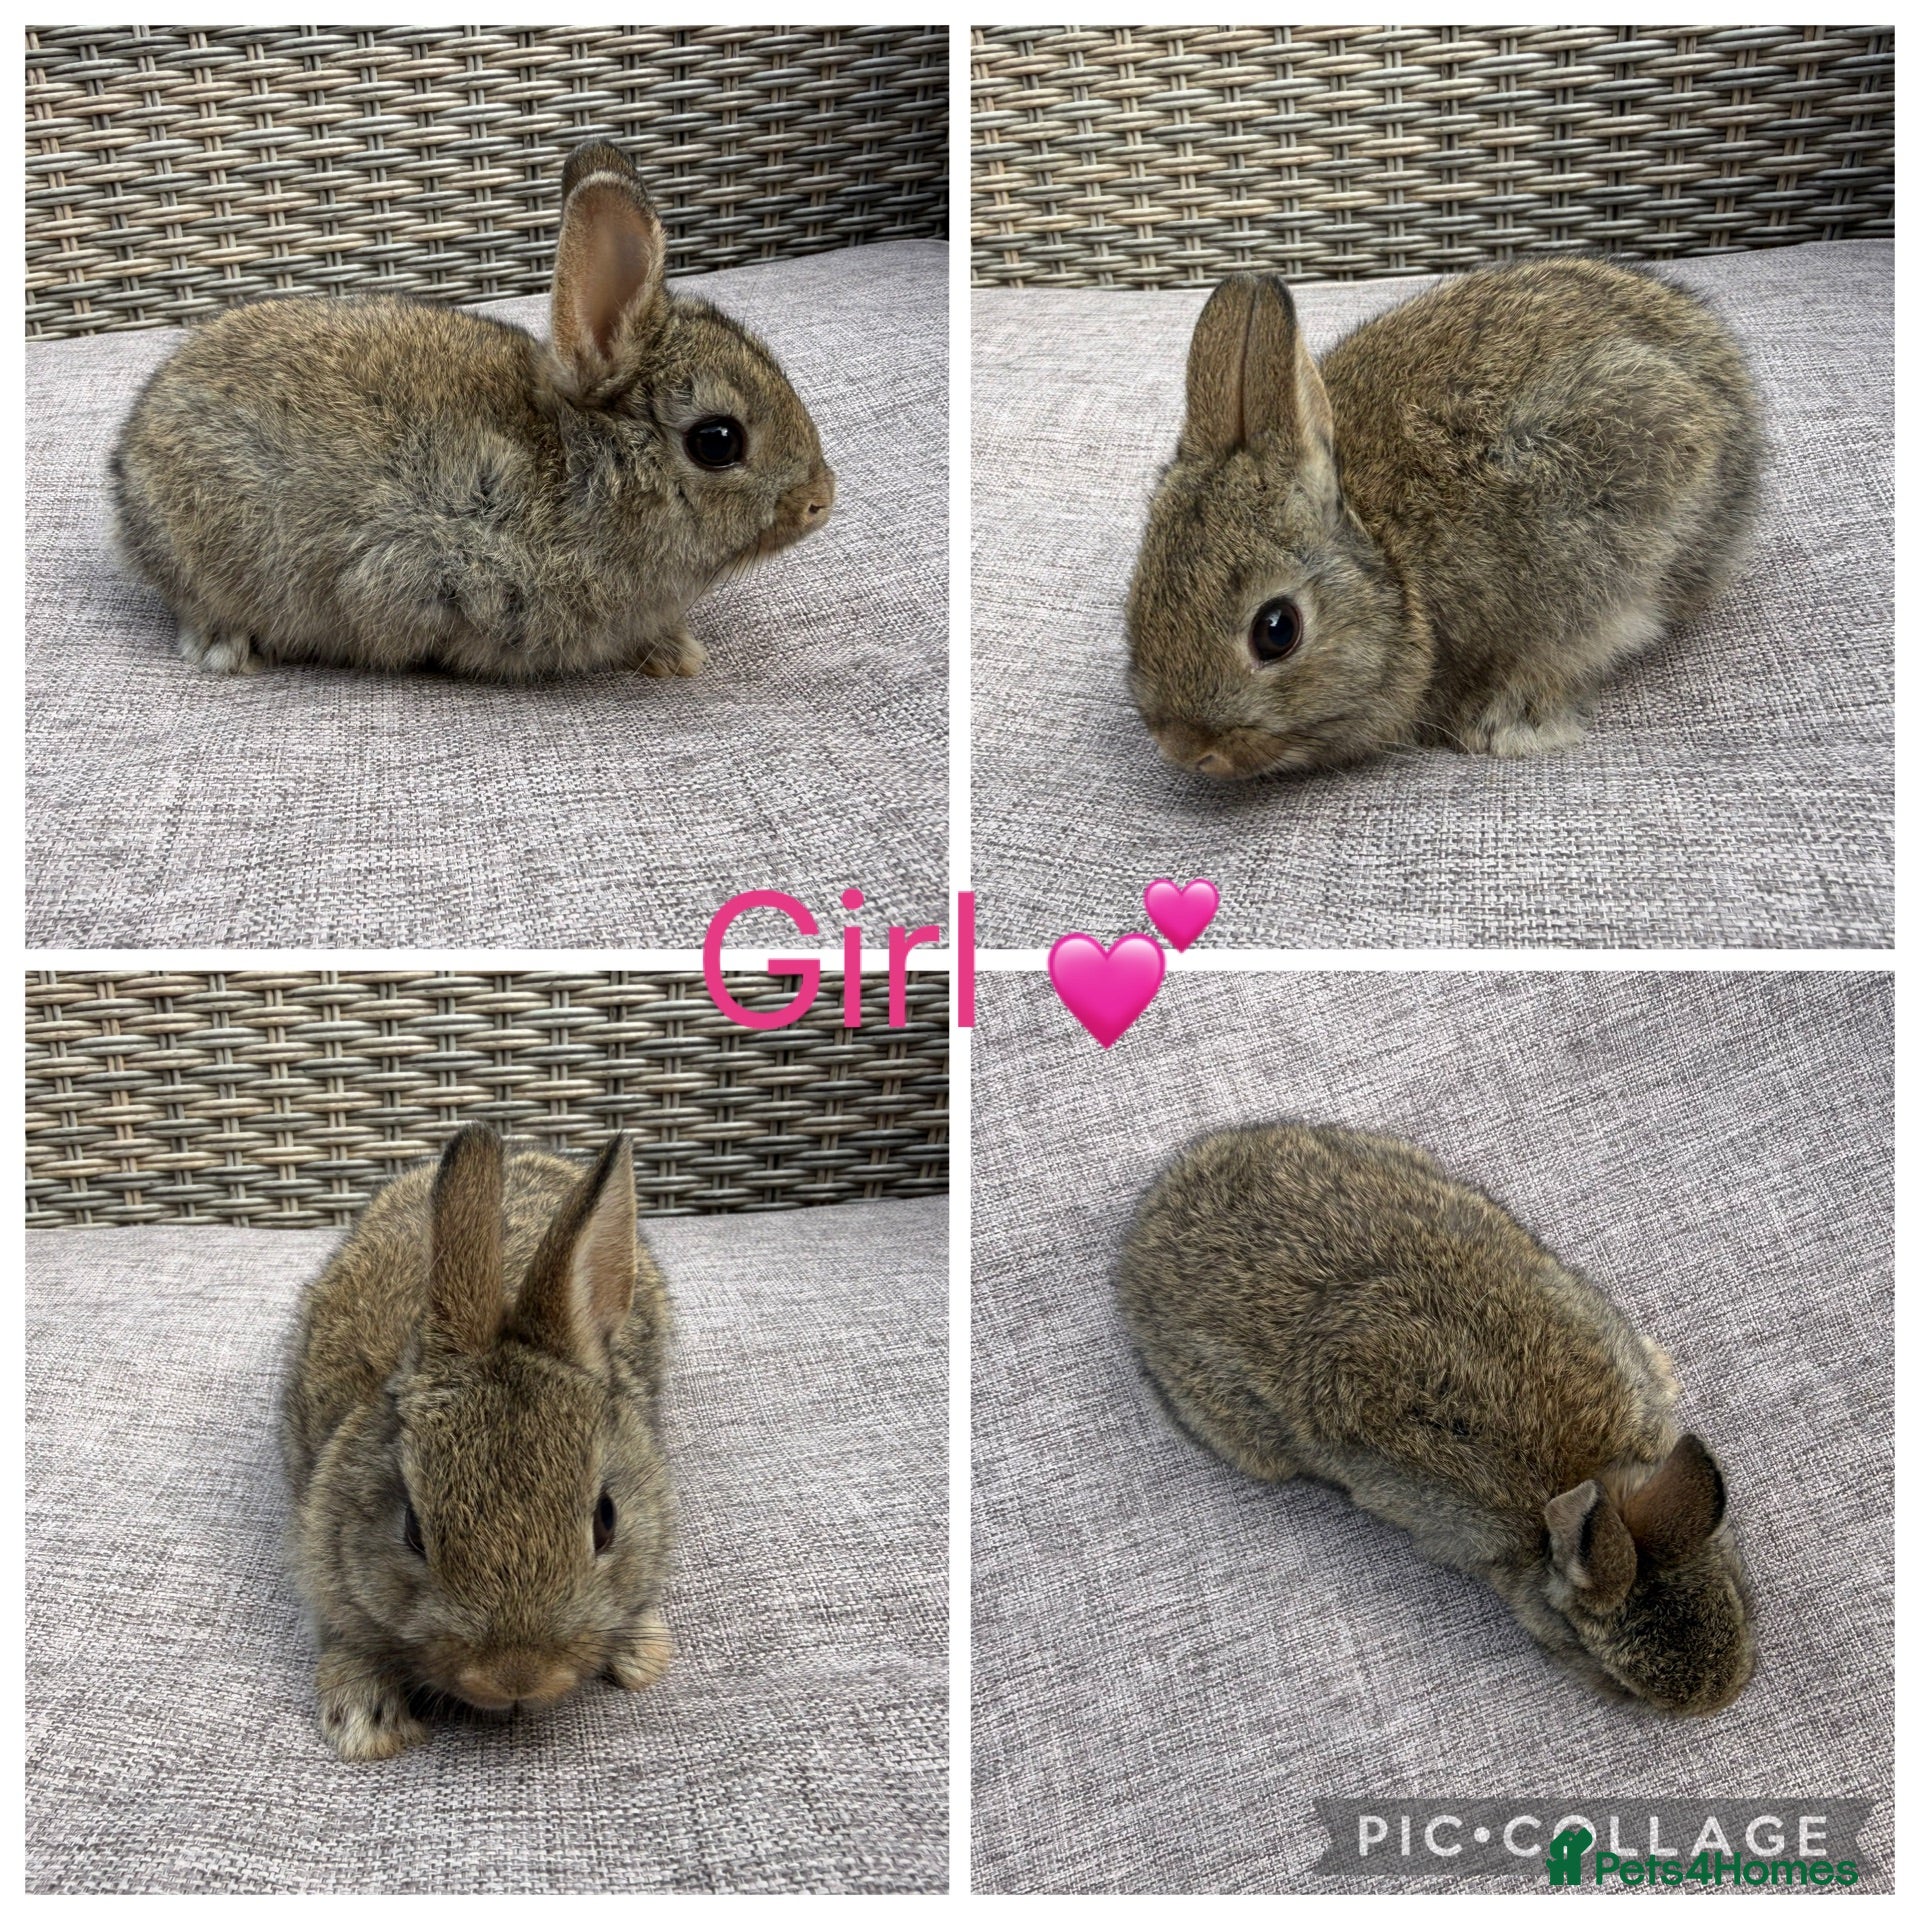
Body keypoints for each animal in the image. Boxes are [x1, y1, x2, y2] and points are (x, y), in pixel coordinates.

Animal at [111, 141, 835, 681]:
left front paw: (677, 653)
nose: (819, 500)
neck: (589, 468)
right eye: (718, 441)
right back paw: (228, 650)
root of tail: (127, 459)